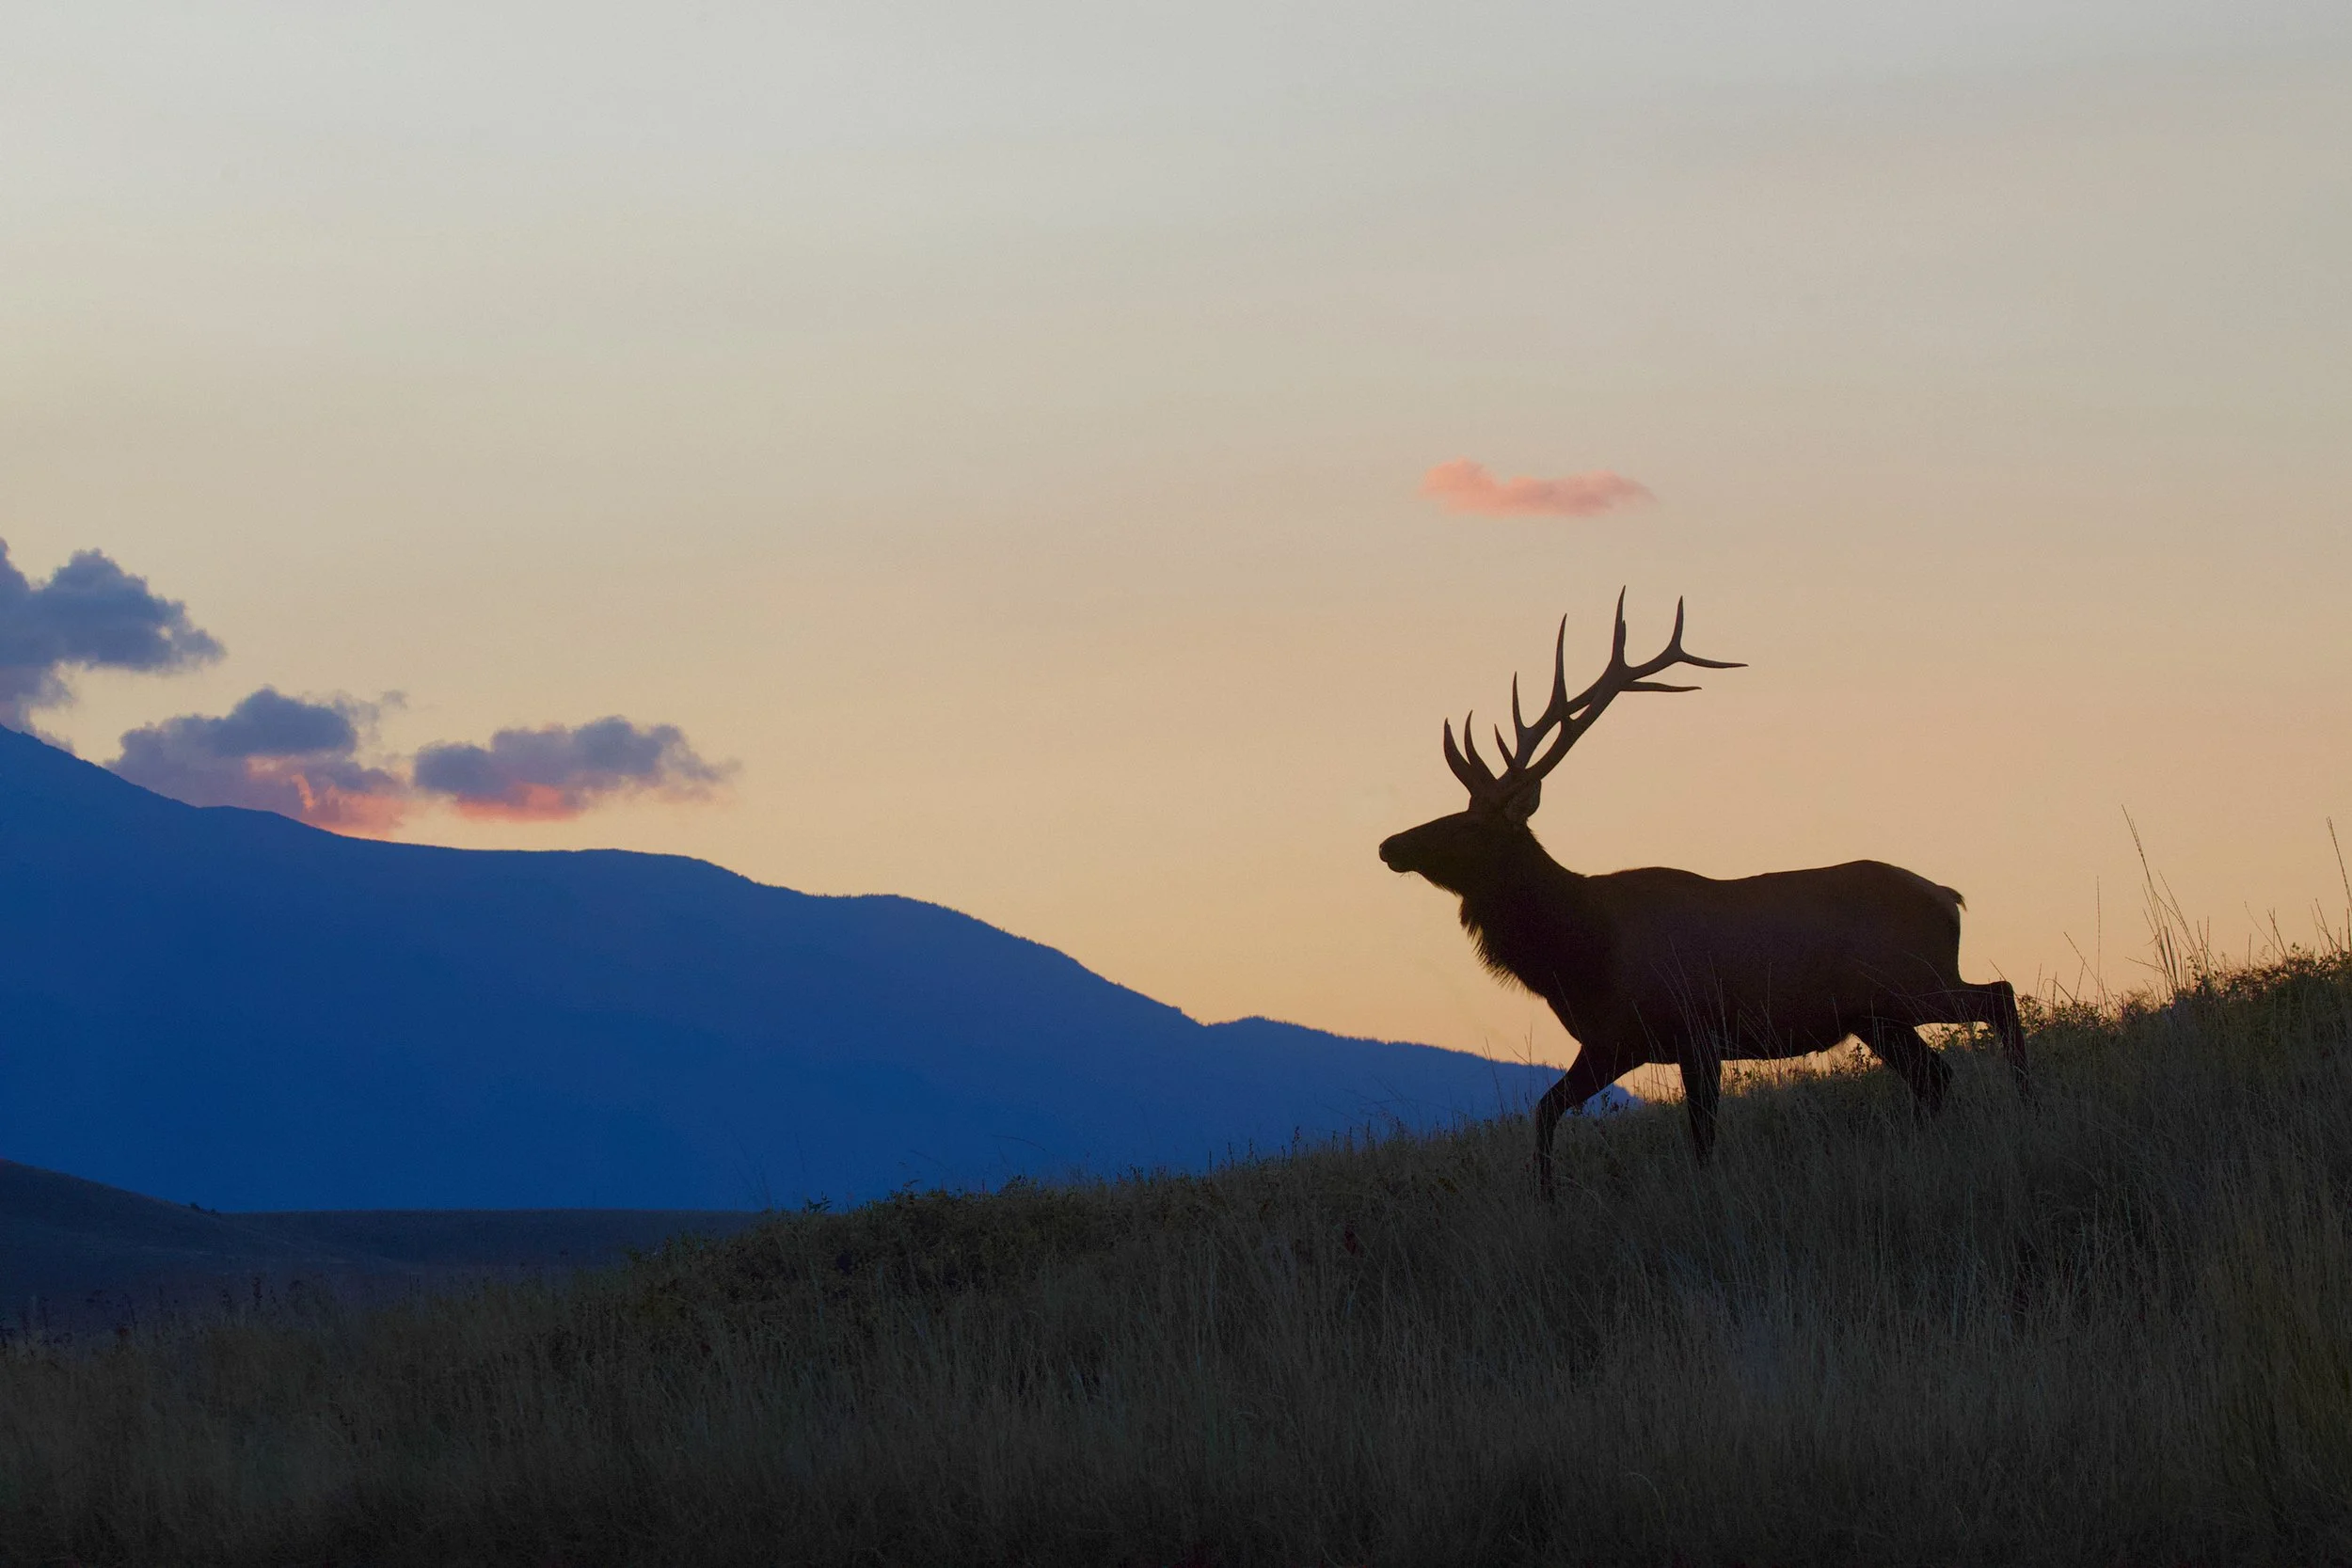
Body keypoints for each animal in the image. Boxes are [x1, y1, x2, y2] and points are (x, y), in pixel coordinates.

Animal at [1377, 594, 2028, 1194]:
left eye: (1467, 826)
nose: (1389, 845)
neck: (1584, 953)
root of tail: (1948, 898)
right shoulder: (1613, 1042)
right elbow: (1545, 1111)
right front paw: (1544, 1198)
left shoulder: (1695, 1030)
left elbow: (1701, 1136)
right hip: (1878, 1014)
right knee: (1935, 1076)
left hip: (1913, 981)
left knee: (1998, 998)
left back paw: (2026, 1103)